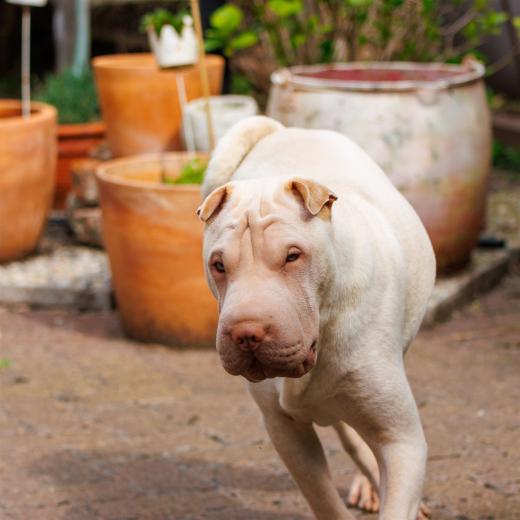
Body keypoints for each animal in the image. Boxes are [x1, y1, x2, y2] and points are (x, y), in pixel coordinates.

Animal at [197, 116, 436, 520]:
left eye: (293, 256)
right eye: (218, 265)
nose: (246, 333)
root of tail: (283, 130)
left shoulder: (401, 439)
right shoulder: (287, 434)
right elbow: (323, 498)